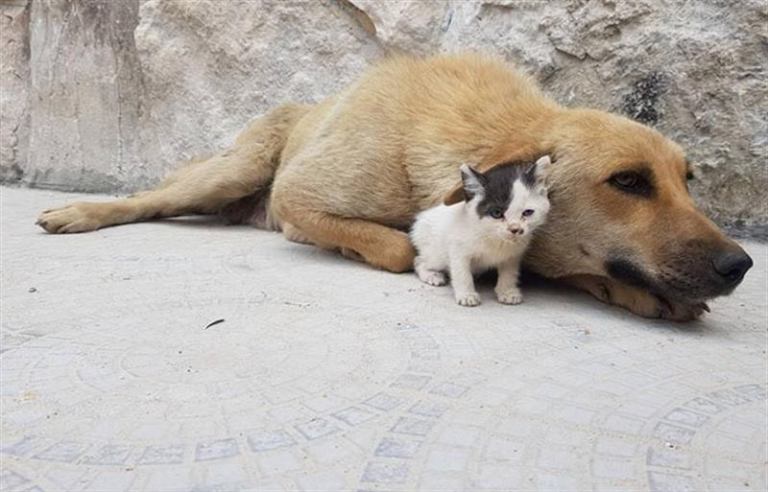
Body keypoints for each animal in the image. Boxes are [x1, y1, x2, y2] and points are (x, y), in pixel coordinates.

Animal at [412, 156, 548, 306]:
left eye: (528, 212)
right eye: (496, 213)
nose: (515, 229)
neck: (494, 237)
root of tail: (421, 219)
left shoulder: (513, 255)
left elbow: (509, 272)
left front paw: (507, 291)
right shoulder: (458, 249)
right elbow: (462, 273)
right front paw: (467, 295)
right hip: (436, 252)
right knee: (419, 260)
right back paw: (432, 275)